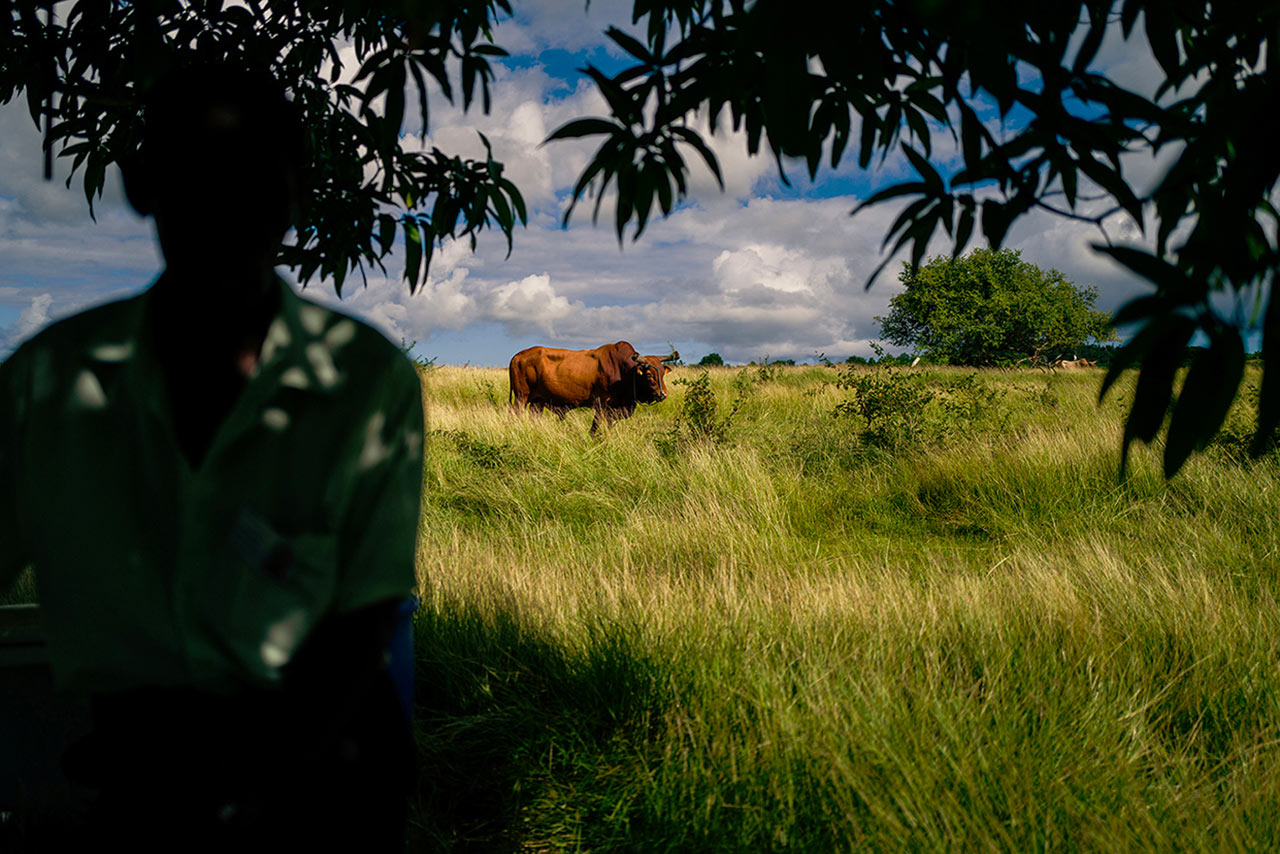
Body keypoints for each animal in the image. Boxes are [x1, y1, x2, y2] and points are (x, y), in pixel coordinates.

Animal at [506, 343, 680, 435]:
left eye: (662, 373)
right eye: (649, 375)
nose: (663, 394)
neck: (624, 372)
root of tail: (517, 356)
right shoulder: (601, 405)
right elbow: (594, 428)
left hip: (537, 402)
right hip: (521, 397)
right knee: (515, 415)